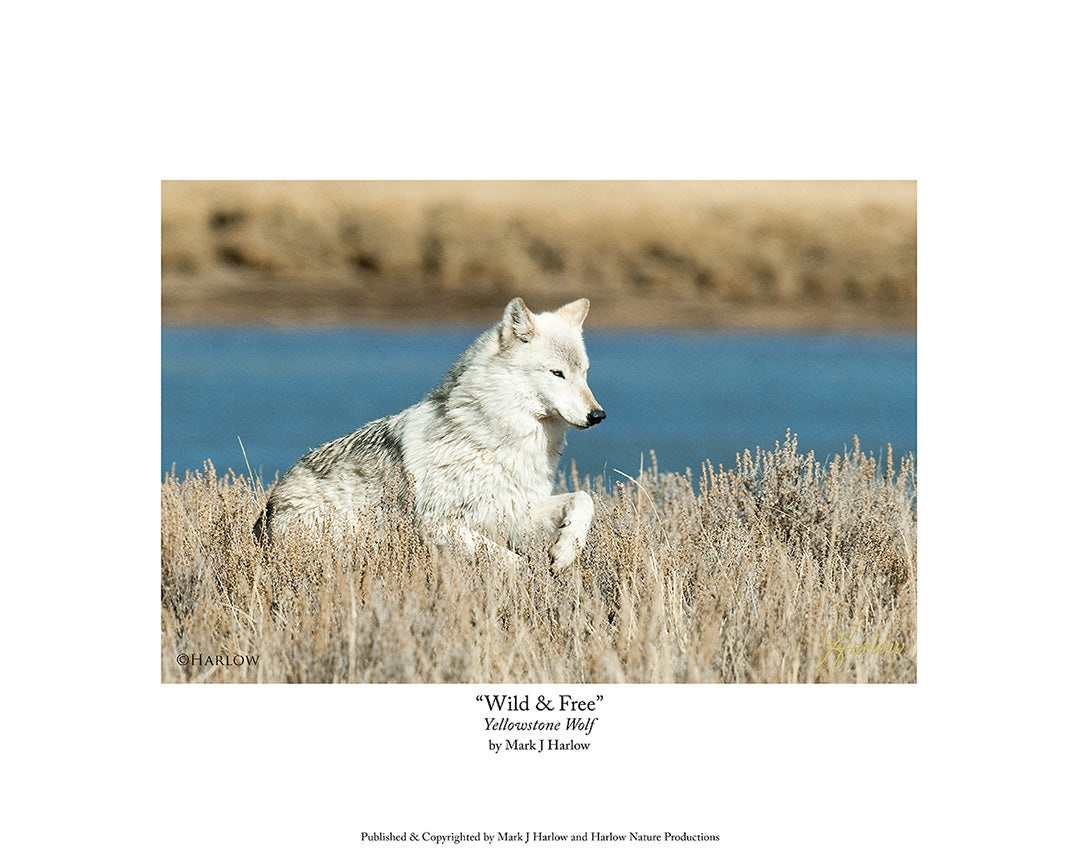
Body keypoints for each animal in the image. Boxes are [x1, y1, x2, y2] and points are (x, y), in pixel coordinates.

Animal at [253, 297, 606, 569]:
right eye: (557, 373)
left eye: (585, 373)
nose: (598, 415)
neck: (492, 437)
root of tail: (267, 512)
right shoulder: (438, 523)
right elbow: (513, 562)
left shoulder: (515, 511)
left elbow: (583, 498)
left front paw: (565, 551)